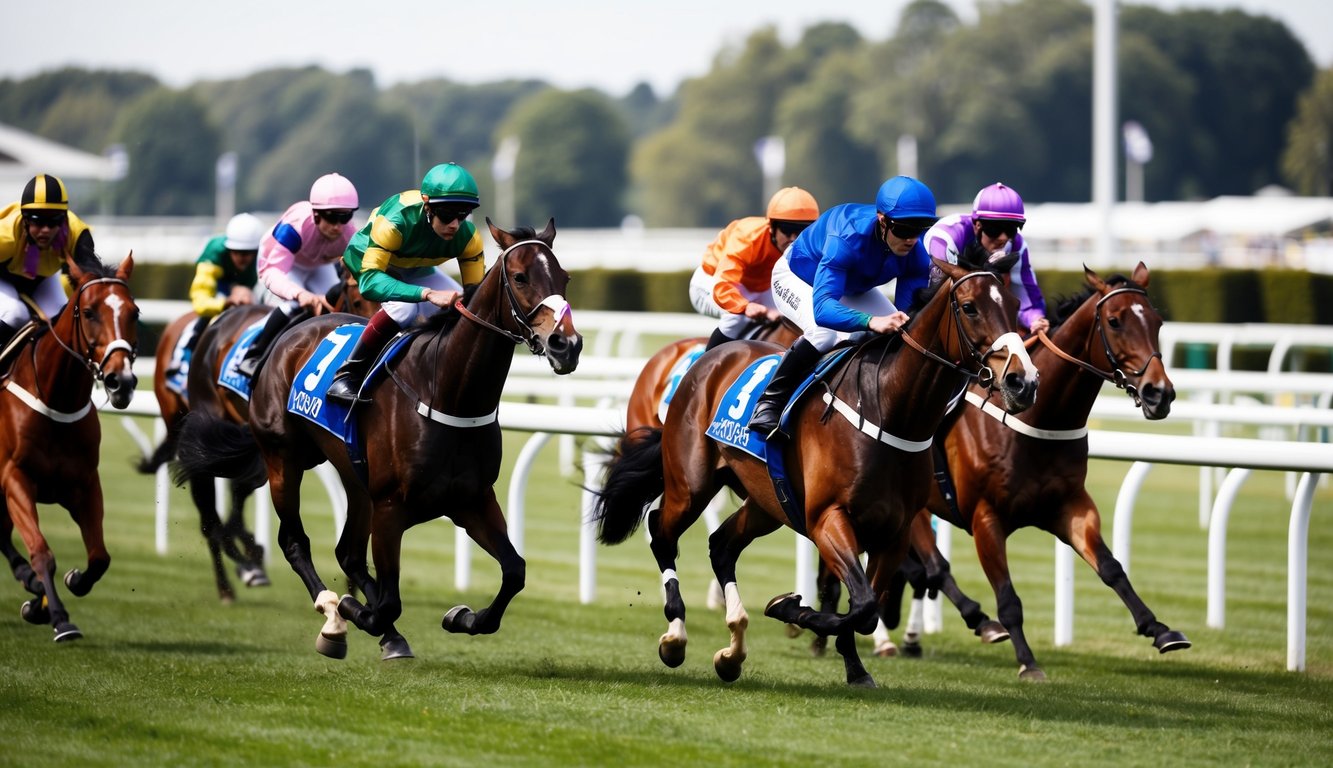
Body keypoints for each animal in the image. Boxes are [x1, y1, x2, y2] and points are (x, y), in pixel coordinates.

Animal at [0, 256, 136, 642]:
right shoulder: (15, 478)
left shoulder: (85, 484)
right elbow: (41, 551)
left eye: (135, 313)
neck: (54, 397)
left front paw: (70, 583)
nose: (122, 381)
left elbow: (100, 556)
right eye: (89, 312)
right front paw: (60, 617)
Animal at [170, 220, 578, 661]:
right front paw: (352, 610)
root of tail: (287, 337)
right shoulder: (390, 509)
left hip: (353, 477)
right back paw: (329, 613)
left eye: (564, 278)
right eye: (520, 277)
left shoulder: (472, 500)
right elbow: (389, 601)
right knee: (292, 541)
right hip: (282, 458)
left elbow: (514, 571)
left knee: (347, 553)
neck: (446, 391)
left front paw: (463, 617)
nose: (566, 345)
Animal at [594, 261, 1039, 688]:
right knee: (661, 530)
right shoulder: (828, 519)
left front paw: (853, 666)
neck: (889, 410)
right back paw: (675, 637)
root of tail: (707, 357)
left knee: (721, 546)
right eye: (970, 307)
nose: (1023, 381)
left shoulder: (894, 533)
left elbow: (867, 608)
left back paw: (732, 651)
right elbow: (862, 604)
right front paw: (789, 607)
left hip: (766, 503)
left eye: (1015, 305)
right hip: (691, 484)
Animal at [927, 262, 1189, 677]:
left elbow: (1112, 567)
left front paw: (1159, 629)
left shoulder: (1070, 505)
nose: (1158, 393)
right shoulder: (985, 517)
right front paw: (1027, 661)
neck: (1038, 417)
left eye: (1158, 321)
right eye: (1114, 321)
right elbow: (1008, 598)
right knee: (933, 563)